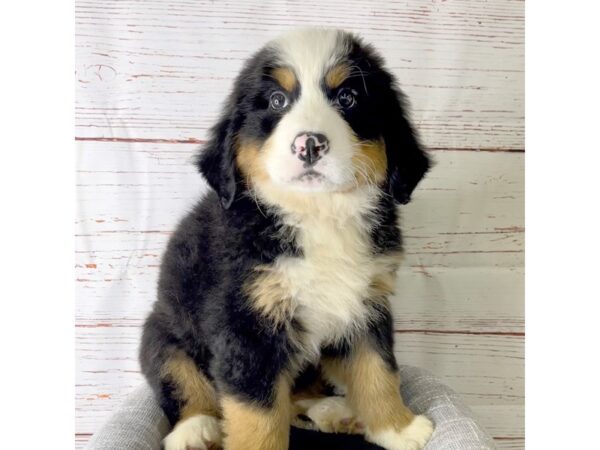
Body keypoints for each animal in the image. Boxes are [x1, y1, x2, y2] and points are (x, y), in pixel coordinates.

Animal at [139, 28, 434, 450]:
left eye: (347, 97)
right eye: (278, 100)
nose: (309, 144)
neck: (317, 214)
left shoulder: (367, 306)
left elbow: (377, 369)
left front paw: (397, 429)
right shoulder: (246, 325)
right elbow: (259, 415)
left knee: (300, 395)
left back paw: (334, 411)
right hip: (162, 334)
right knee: (181, 381)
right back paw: (195, 430)